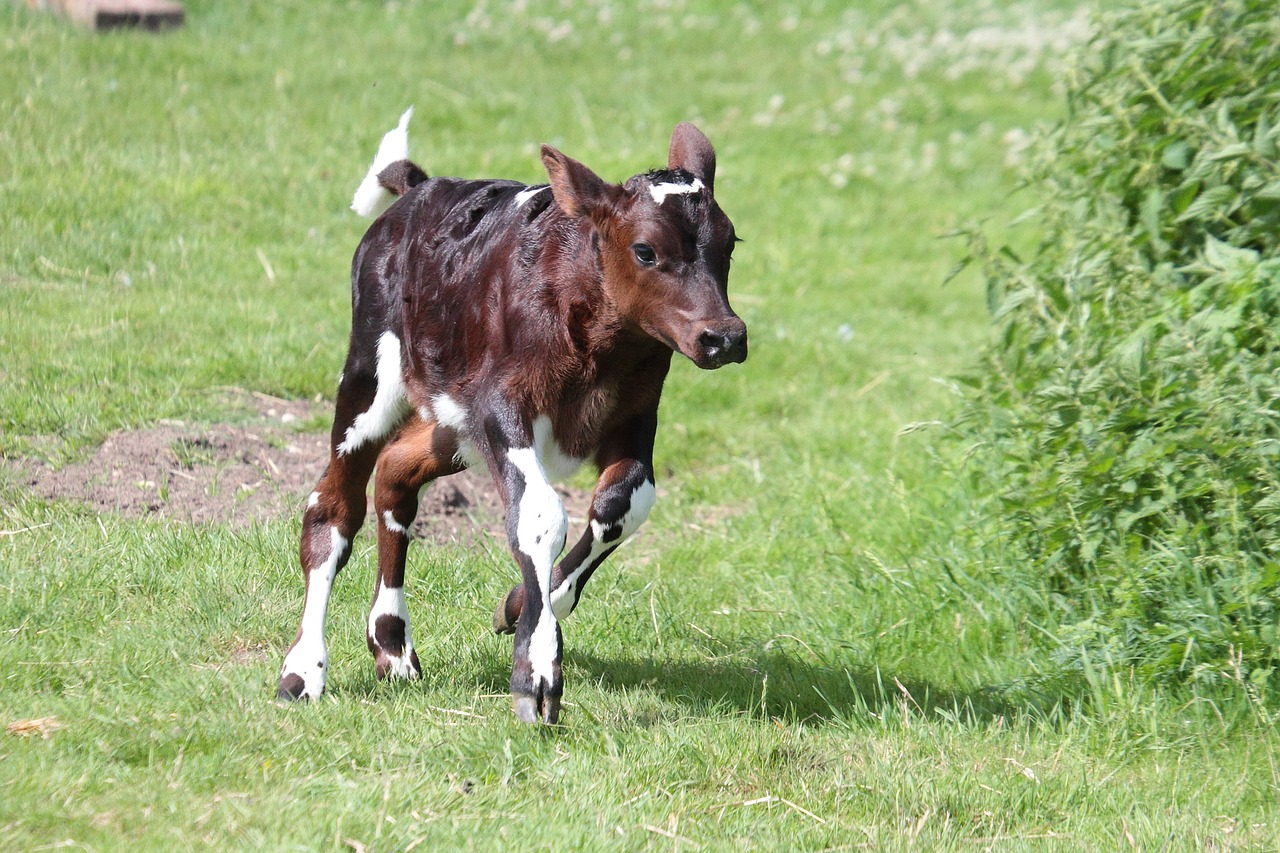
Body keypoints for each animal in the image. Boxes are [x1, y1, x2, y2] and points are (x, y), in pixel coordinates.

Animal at [275, 109, 747, 722]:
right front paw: (538, 673)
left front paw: (526, 603)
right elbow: (541, 514)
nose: (725, 337)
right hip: (371, 376)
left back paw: (393, 645)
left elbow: (626, 503)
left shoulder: (638, 411)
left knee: (397, 474)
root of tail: (422, 186)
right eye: (645, 250)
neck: (601, 344)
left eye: (731, 244)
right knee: (332, 507)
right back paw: (303, 670)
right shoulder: (502, 406)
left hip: (451, 421)